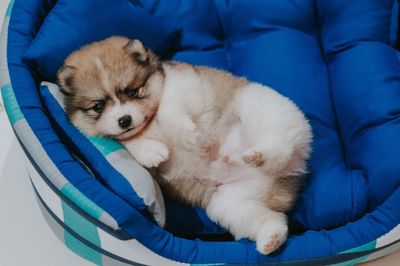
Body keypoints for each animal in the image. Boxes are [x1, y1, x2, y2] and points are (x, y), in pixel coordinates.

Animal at [57, 36, 312, 255]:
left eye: (133, 91)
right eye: (98, 106)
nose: (124, 120)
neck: (148, 123)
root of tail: (290, 174)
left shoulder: (180, 85)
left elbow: (169, 109)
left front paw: (189, 136)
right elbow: (126, 141)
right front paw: (151, 151)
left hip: (256, 105)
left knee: (278, 142)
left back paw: (260, 155)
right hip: (229, 202)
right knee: (269, 218)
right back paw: (270, 238)